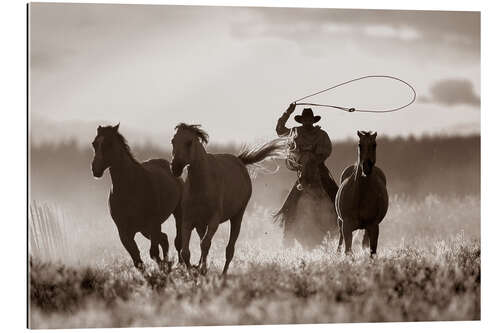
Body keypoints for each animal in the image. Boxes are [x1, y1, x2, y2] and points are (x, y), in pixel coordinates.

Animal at [91, 123, 183, 268]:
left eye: (109, 143)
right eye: (94, 144)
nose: (95, 169)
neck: (130, 187)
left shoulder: (153, 224)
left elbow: (153, 253)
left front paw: (164, 267)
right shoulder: (124, 232)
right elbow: (137, 259)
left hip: (175, 215)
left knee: (177, 241)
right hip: (145, 230)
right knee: (164, 238)